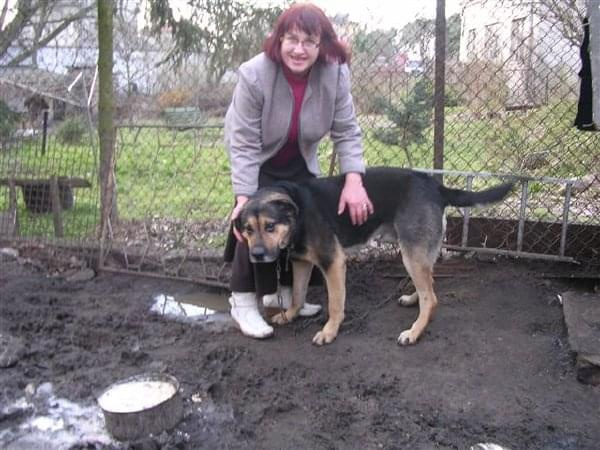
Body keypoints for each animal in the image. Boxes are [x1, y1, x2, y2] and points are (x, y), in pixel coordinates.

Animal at [234, 167, 510, 346]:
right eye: (248, 229)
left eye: (270, 226)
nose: (257, 255)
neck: (296, 211)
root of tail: (436, 186)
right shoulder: (301, 262)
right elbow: (298, 296)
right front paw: (289, 315)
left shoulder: (333, 262)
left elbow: (335, 304)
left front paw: (330, 332)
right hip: (417, 251)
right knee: (429, 284)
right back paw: (413, 299)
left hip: (411, 253)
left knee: (431, 298)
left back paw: (413, 332)